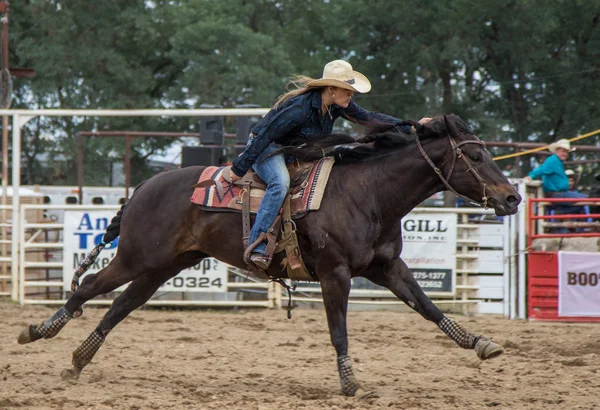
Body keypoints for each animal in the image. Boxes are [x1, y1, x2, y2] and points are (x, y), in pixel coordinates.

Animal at [18, 115, 520, 398]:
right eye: (476, 156)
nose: (512, 197)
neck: (369, 193)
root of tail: (144, 186)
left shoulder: (386, 268)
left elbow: (429, 307)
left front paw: (480, 342)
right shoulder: (335, 273)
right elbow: (339, 332)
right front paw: (350, 384)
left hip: (165, 265)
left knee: (121, 305)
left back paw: (77, 361)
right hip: (138, 257)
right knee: (89, 288)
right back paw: (38, 331)